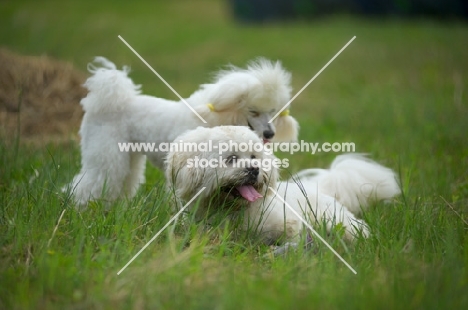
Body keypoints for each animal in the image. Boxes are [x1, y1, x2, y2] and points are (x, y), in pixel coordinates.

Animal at [67, 57, 298, 206]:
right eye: (253, 111)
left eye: (273, 111)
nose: (270, 134)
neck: (217, 116)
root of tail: (109, 100)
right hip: (105, 153)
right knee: (92, 182)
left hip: (127, 156)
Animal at [165, 124, 398, 243]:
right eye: (231, 158)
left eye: (254, 157)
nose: (254, 169)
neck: (231, 210)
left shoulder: (289, 225)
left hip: (338, 221)